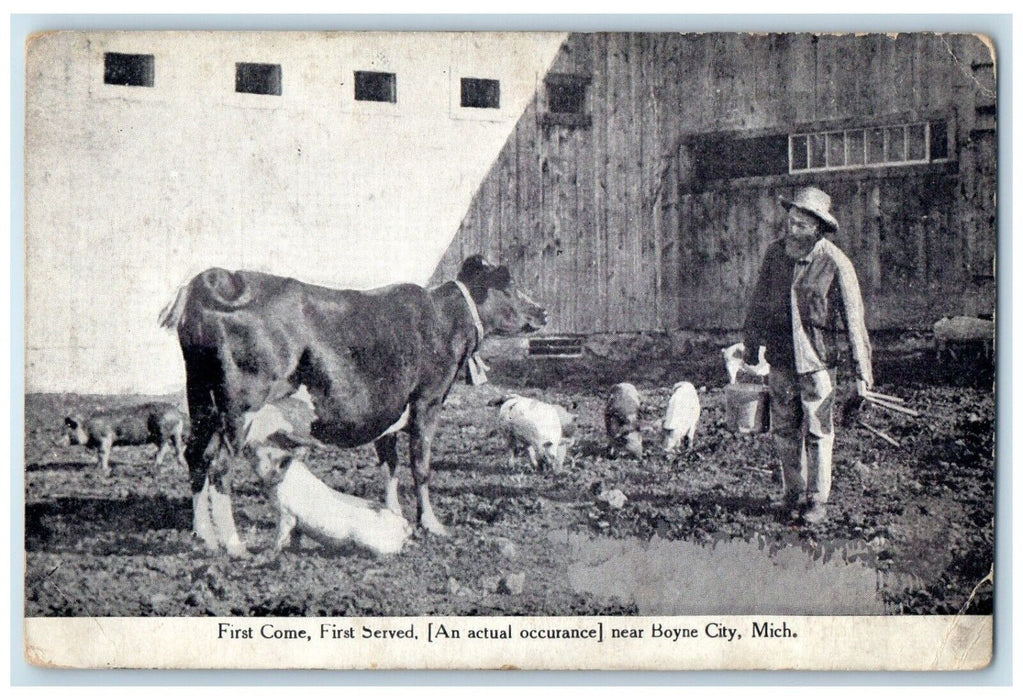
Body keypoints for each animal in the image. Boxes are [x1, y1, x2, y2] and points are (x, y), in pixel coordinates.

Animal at [159, 255, 547, 556]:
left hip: (202, 402)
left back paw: (204, 535)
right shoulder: (428, 399)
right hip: (240, 409)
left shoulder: (389, 409)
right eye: (511, 286)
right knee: (220, 466)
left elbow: (389, 465)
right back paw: (233, 544)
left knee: (196, 457)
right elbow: (420, 466)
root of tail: (213, 279)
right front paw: (432, 524)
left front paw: (395, 515)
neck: (443, 317)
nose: (543, 311)